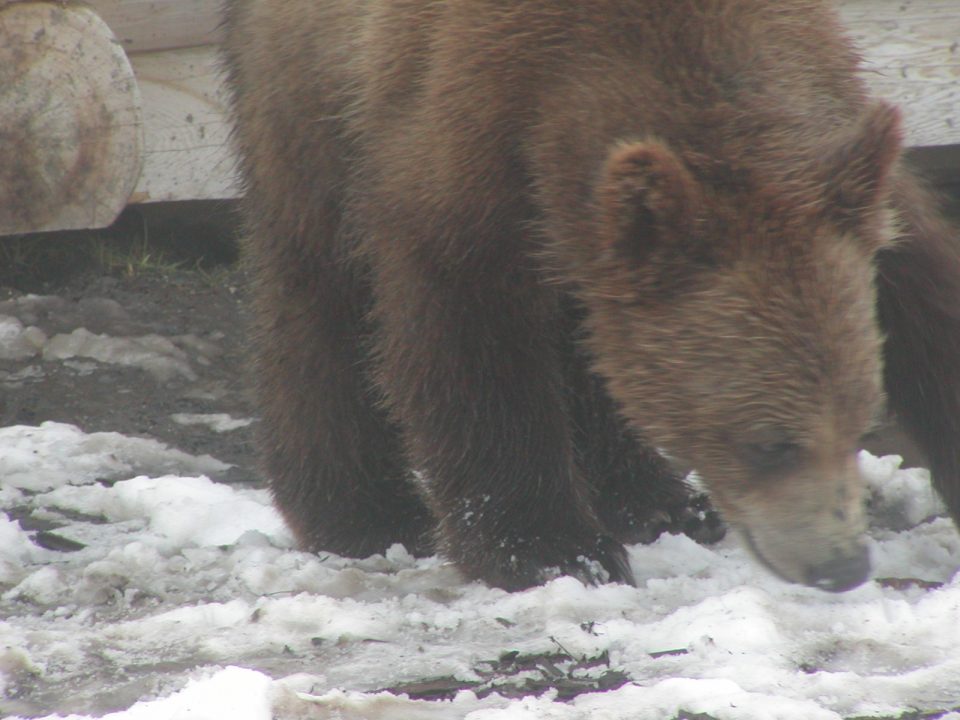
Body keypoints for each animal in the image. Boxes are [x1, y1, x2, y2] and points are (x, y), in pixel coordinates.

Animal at [221, 0, 960, 592]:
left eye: (861, 420)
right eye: (768, 442)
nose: (842, 566)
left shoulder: (836, 178)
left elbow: (923, 297)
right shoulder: (461, 136)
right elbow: (471, 342)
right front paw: (552, 551)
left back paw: (658, 501)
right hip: (308, 90)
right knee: (317, 284)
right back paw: (363, 514)